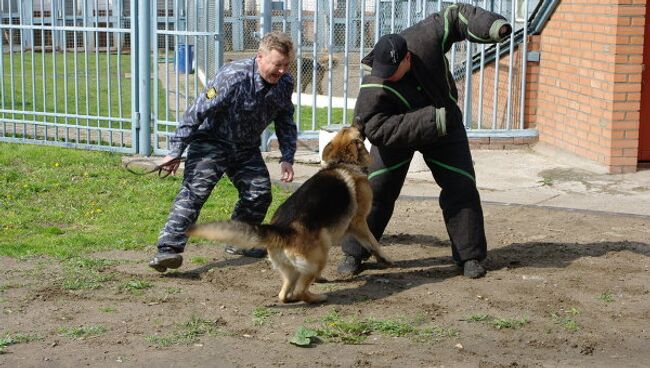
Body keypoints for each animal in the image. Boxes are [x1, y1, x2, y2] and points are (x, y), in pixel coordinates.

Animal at [185, 128, 392, 304]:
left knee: (284, 294)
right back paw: (318, 297)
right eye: (357, 131)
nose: (361, 120)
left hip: (291, 270)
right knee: (301, 290)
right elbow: (373, 241)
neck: (342, 161)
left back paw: (298, 295)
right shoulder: (359, 222)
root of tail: (282, 231)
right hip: (321, 251)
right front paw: (384, 259)